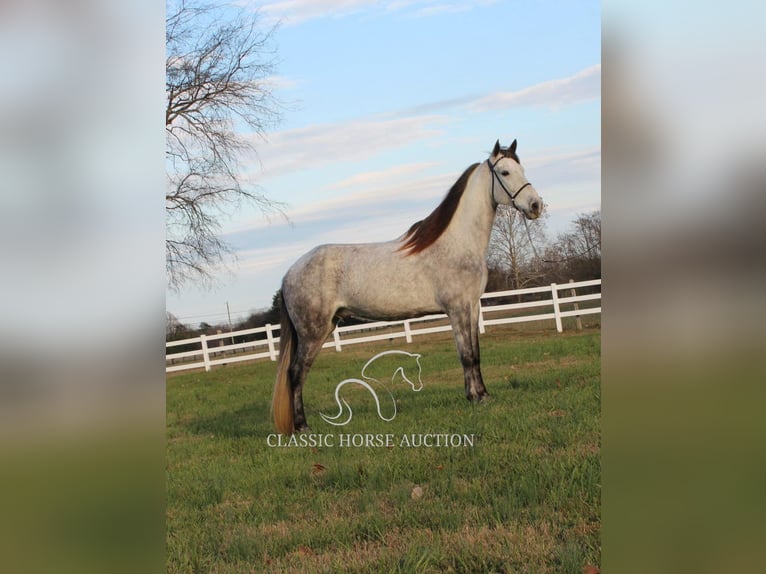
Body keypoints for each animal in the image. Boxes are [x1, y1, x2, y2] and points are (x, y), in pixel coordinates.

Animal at [272, 141, 544, 436]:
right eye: (505, 172)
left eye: (521, 169)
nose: (536, 205)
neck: (457, 243)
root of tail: (289, 273)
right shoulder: (457, 309)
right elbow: (467, 355)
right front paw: (475, 398)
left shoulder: (472, 307)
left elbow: (476, 354)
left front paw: (482, 395)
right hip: (312, 332)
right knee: (296, 373)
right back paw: (302, 427)